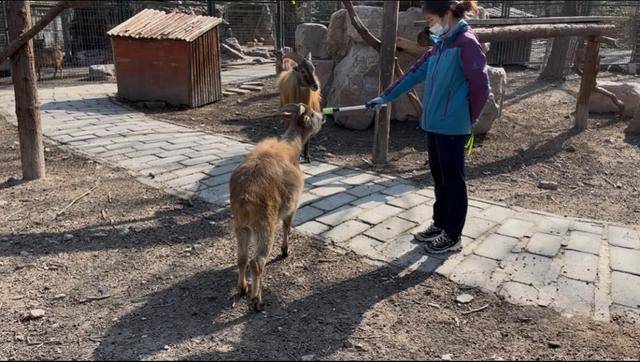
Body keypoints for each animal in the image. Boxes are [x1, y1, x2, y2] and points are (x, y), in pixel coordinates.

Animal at [230, 102, 324, 312]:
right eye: (312, 114)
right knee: (257, 262)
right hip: (265, 224)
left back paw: (242, 287)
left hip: (240, 225)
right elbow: (287, 226)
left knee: (242, 256)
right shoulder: (292, 205)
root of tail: (245, 198)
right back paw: (256, 300)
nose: (323, 116)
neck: (292, 147)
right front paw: (285, 251)